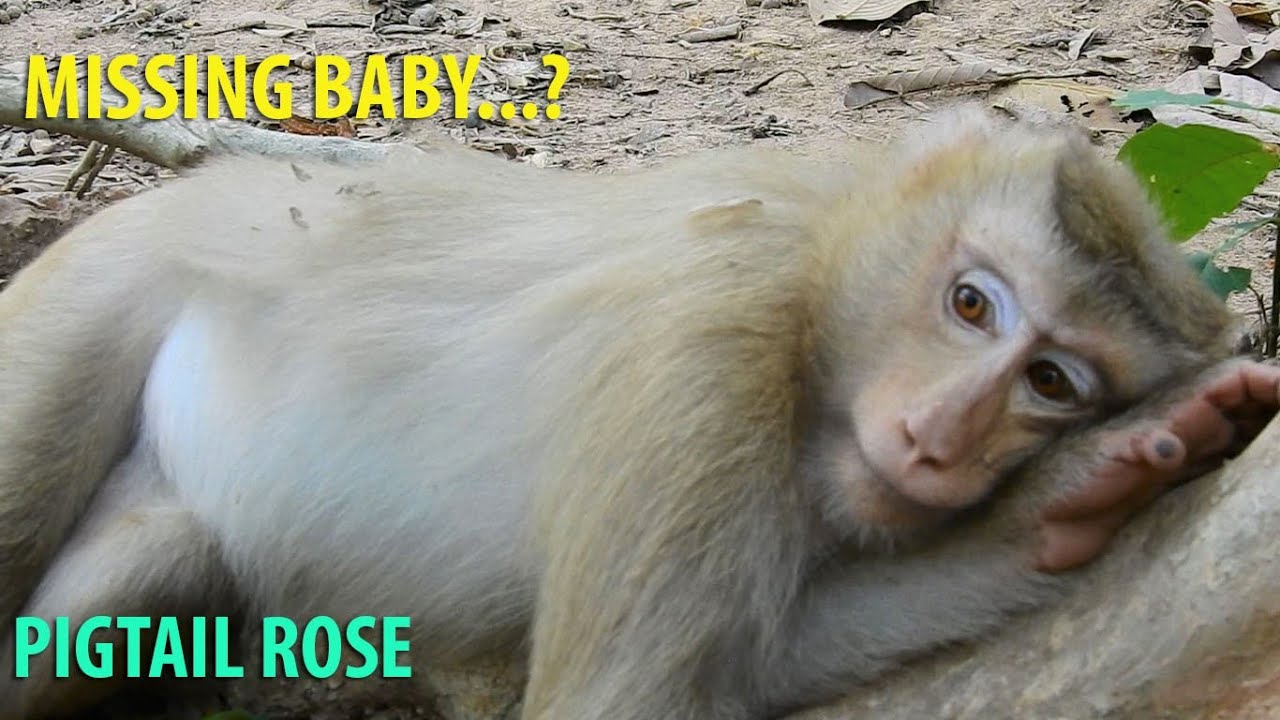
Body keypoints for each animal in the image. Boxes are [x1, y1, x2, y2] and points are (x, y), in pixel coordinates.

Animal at [0, 105, 1279, 720]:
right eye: (971, 304)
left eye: (1053, 382)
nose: (942, 438)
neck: (815, 294)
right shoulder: (708, 346)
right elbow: (623, 701)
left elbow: (744, 662)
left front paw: (1067, 502)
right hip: (90, 296)